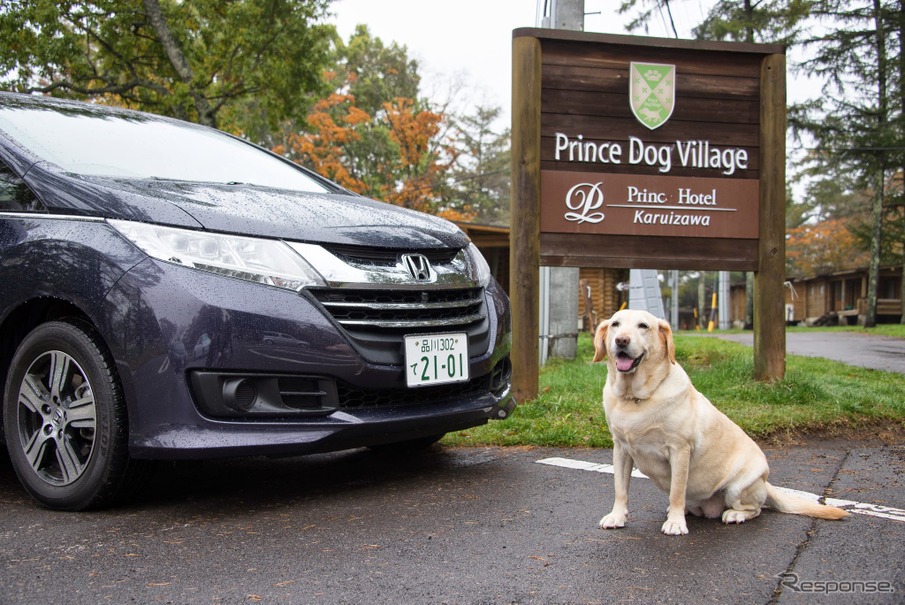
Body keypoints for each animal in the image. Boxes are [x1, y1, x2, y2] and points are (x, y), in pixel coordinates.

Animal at [592, 312, 848, 532]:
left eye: (643, 326)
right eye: (615, 324)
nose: (621, 340)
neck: (636, 398)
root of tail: (766, 483)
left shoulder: (679, 450)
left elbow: (676, 491)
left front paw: (675, 523)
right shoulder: (621, 449)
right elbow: (620, 489)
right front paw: (617, 516)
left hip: (738, 487)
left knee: (754, 509)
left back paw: (734, 514)